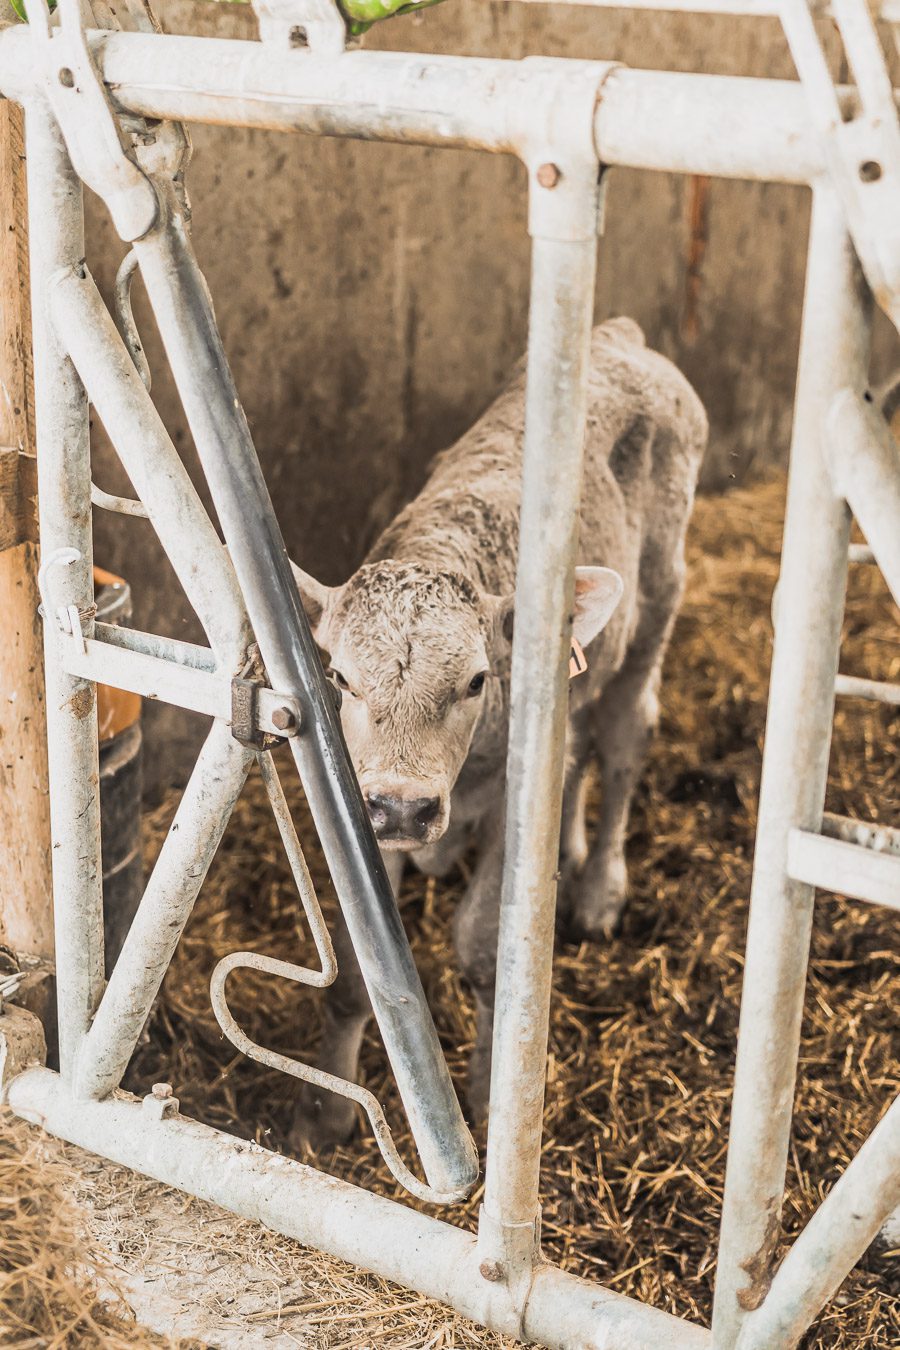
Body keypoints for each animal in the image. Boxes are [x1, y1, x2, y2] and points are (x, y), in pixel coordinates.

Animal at [292, 318, 707, 1150]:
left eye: (477, 681)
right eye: (341, 678)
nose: (404, 808)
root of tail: (621, 338)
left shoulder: (511, 805)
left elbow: (486, 949)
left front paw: (489, 1092)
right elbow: (359, 969)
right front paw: (329, 1113)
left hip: (657, 606)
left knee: (624, 742)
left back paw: (600, 886)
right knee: (579, 752)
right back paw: (571, 854)